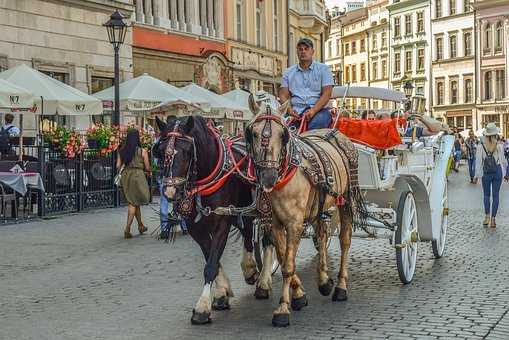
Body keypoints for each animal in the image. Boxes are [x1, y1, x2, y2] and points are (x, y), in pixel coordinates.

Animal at [155, 116, 272, 324]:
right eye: (160, 151)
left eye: (187, 151)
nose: (170, 191)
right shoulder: (195, 228)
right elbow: (212, 258)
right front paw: (221, 293)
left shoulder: (221, 225)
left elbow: (211, 264)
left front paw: (202, 307)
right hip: (242, 210)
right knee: (248, 233)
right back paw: (250, 269)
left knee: (268, 241)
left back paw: (263, 282)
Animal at [245, 99, 362, 326]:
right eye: (252, 133)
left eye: (282, 135)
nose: (269, 177)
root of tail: (335, 133)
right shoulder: (274, 223)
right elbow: (283, 257)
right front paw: (299, 295)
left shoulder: (294, 223)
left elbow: (288, 265)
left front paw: (283, 309)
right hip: (320, 204)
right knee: (322, 234)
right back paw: (324, 281)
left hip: (346, 199)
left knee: (345, 240)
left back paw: (340, 287)